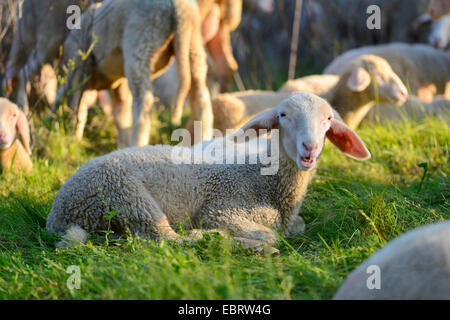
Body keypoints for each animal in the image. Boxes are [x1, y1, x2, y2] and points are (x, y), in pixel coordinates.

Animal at [45, 92, 370, 252]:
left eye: (328, 119)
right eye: (283, 115)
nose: (309, 148)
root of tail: (58, 214)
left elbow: (296, 227)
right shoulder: (223, 210)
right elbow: (272, 235)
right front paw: (258, 241)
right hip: (126, 195)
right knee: (171, 239)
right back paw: (238, 244)